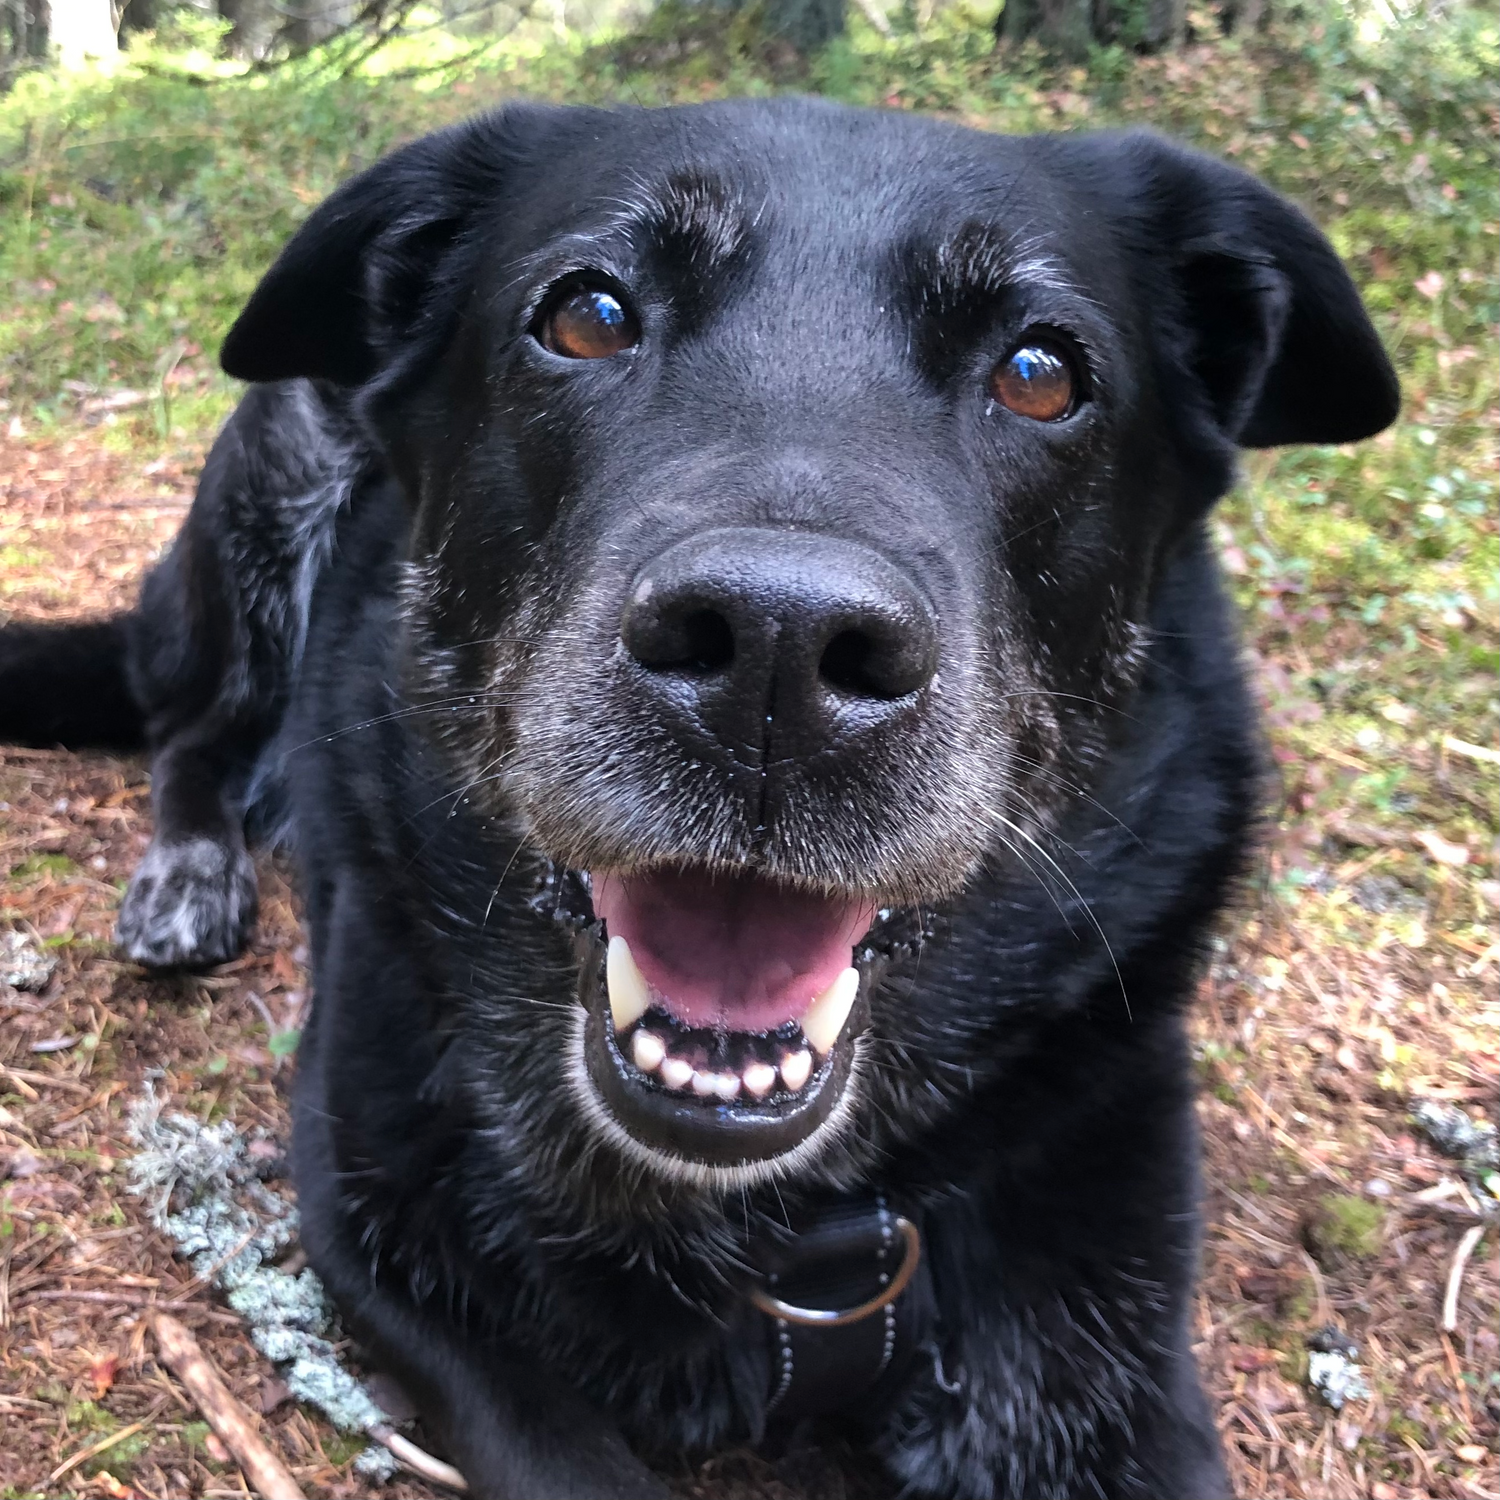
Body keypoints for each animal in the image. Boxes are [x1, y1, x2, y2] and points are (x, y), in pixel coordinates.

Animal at [0, 96, 1392, 1500]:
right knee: (193, 728)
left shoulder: (1104, 1369)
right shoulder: (389, 1245)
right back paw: (190, 871)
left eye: (1043, 373)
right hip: (275, 467)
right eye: (587, 316)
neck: (780, 1230)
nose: (779, 647)